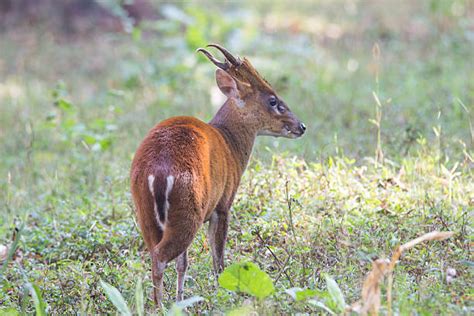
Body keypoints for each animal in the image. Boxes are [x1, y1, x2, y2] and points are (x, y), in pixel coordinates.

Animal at [131, 44, 308, 306]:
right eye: (273, 100)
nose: (301, 126)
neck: (230, 144)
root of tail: (158, 171)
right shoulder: (223, 204)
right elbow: (218, 259)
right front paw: (223, 294)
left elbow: (184, 264)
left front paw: (181, 301)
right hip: (189, 208)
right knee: (160, 257)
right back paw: (159, 307)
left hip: (146, 214)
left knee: (157, 253)